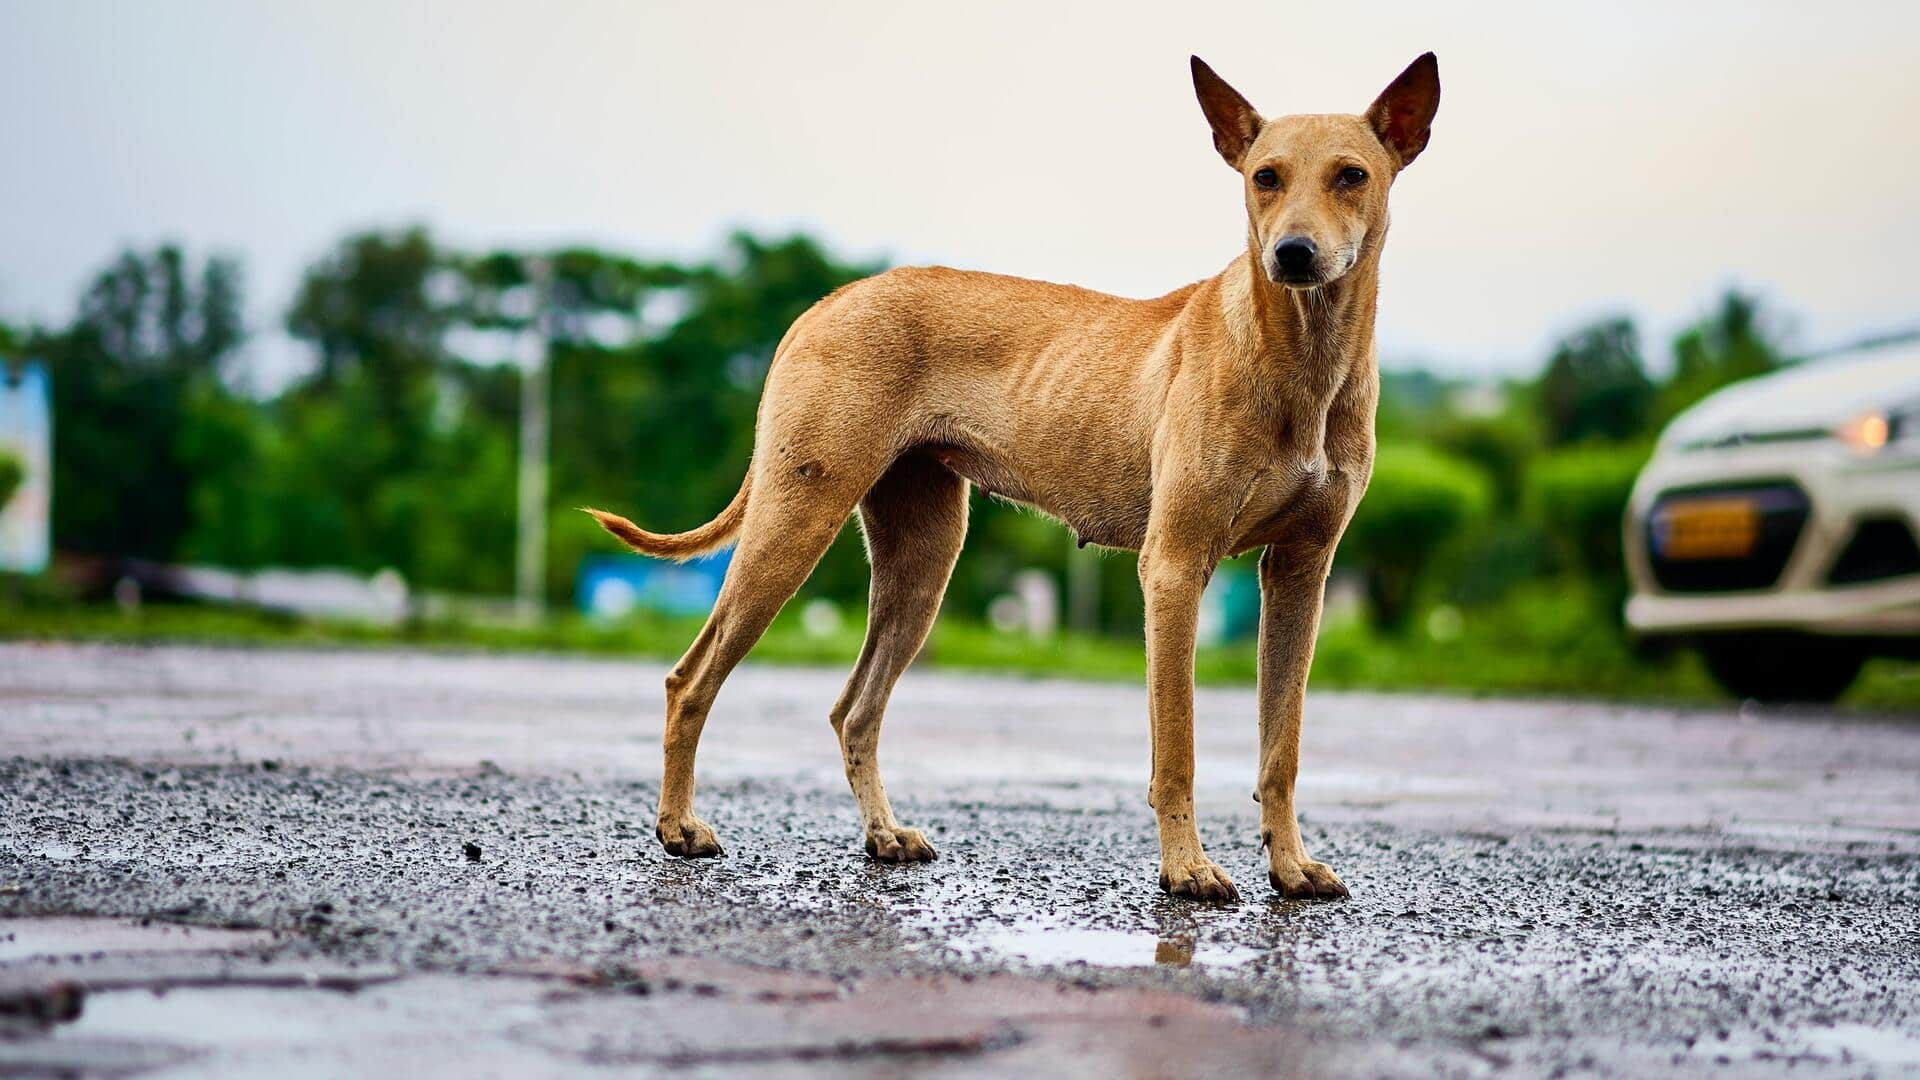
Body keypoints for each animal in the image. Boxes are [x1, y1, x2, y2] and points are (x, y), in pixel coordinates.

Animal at [587, 52, 1443, 899]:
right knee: (691, 680)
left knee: (853, 709)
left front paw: (1290, 865)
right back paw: (678, 827)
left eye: (1351, 176)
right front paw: (1187, 869)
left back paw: (882, 833)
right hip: (795, 522)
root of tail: (831, 300)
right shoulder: (1172, 568)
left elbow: (1281, 745)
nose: (1292, 253)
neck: (1300, 354)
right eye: (1266, 176)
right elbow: (1178, 748)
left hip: (922, 563)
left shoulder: (1300, 574)